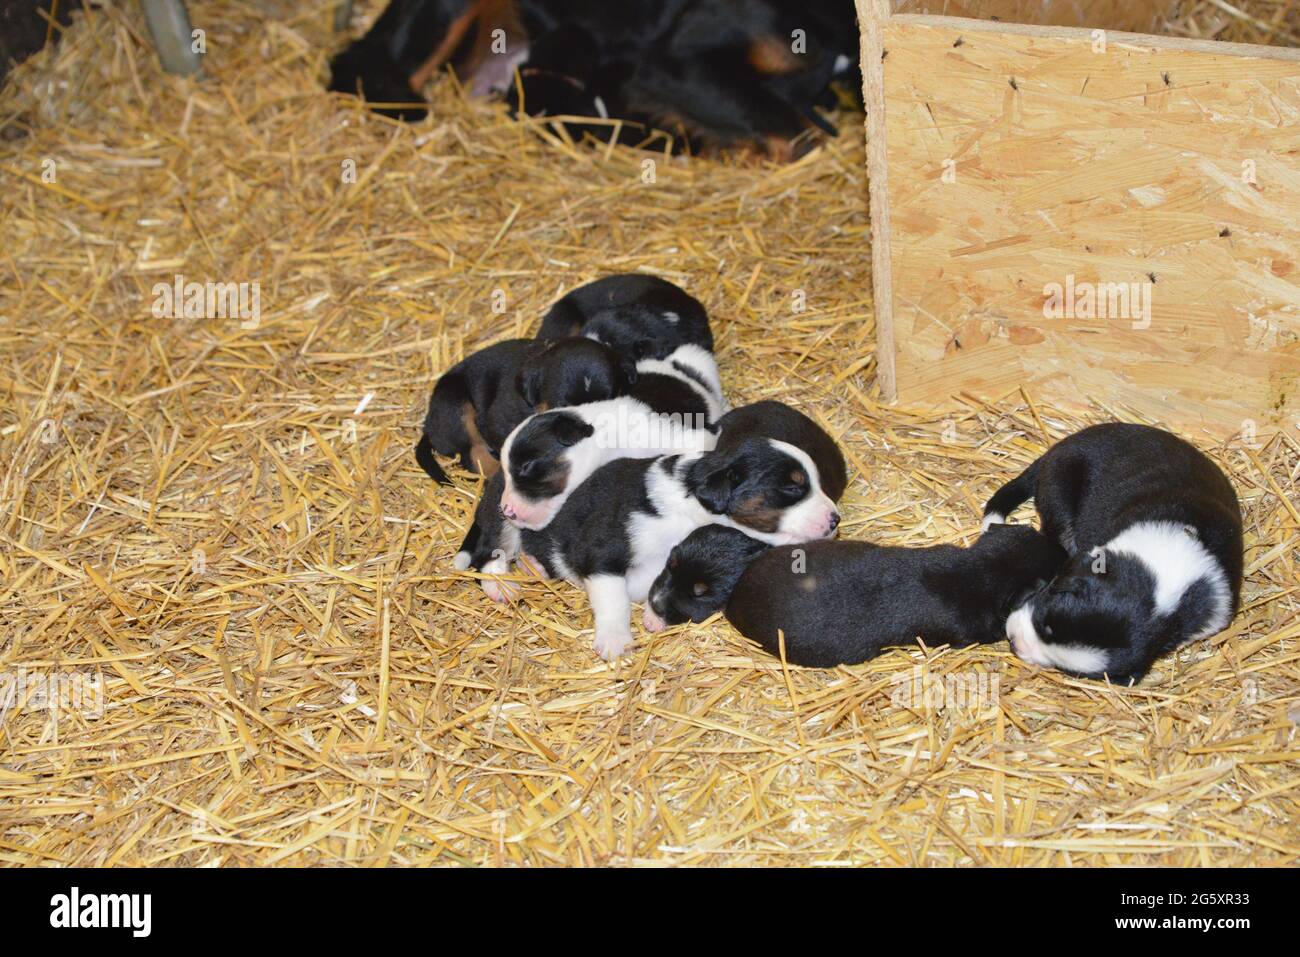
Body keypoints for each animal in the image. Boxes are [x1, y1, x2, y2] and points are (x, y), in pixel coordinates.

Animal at [413, 338, 631, 486]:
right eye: (564, 405)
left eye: (611, 399)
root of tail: (429, 426)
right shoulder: (497, 421)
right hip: (456, 404)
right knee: (473, 455)